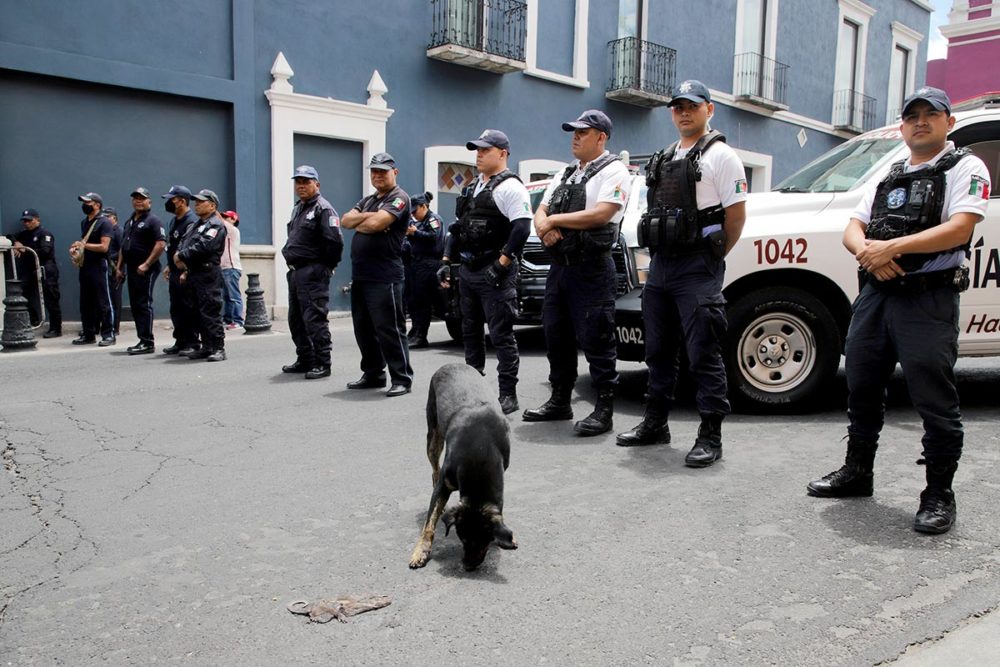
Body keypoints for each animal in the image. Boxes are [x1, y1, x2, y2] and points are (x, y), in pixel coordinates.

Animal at [408, 362, 516, 572]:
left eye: (485, 541)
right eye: (462, 539)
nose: (467, 566)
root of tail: (452, 363)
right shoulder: (444, 483)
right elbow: (429, 523)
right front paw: (421, 551)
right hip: (433, 436)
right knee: (434, 471)